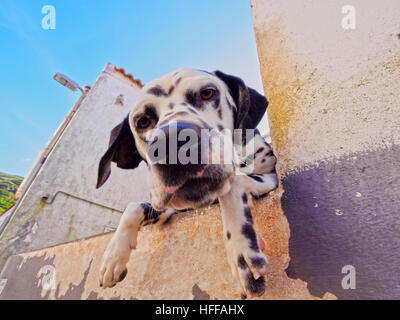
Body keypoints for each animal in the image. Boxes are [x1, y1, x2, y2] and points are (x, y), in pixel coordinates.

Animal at [97, 69, 278, 298]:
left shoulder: (272, 174)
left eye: (207, 93)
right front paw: (112, 258)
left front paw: (242, 253)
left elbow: (233, 184)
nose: (172, 141)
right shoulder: (172, 209)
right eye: (143, 121)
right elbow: (133, 207)